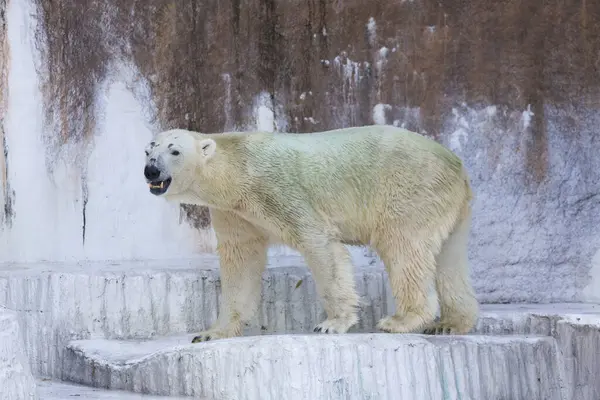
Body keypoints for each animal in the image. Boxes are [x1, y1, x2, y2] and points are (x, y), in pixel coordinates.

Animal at [144, 124, 478, 340]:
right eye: (149, 150)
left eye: (175, 151)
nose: (151, 170)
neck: (237, 169)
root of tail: (457, 164)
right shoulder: (235, 213)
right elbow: (241, 259)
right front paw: (212, 332)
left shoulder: (278, 190)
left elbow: (319, 244)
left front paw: (332, 323)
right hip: (447, 203)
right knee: (449, 258)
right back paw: (451, 323)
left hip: (411, 189)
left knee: (404, 247)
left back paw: (401, 320)